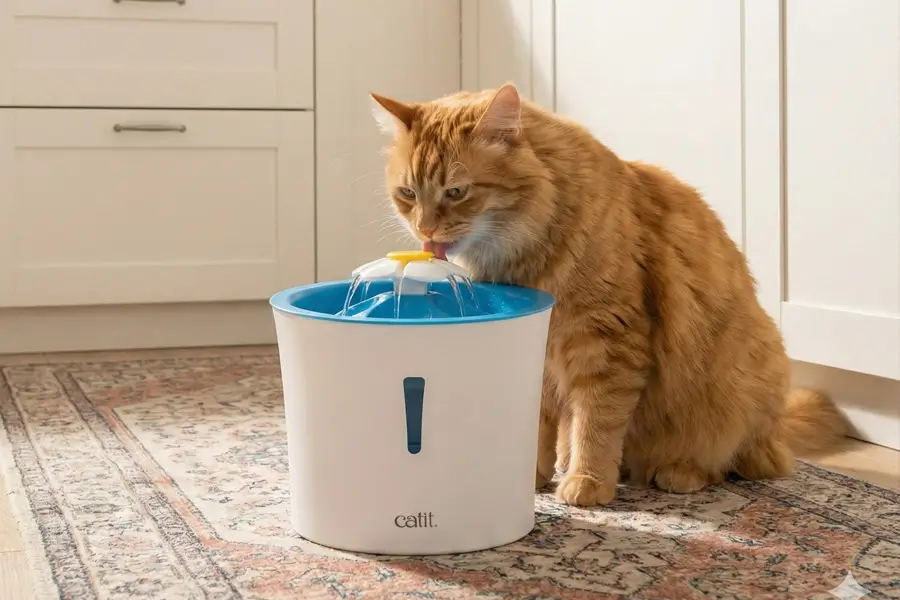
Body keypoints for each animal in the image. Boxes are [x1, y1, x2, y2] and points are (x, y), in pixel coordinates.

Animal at [369, 83, 850, 507]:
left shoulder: (608, 342)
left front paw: (587, 482)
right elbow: (541, 427)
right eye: (408, 193)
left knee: (729, 461)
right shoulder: (541, 356)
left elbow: (596, 424)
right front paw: (533, 478)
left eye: (457, 191)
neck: (528, 248)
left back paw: (678, 472)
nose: (424, 229)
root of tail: (776, 430)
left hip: (739, 387)